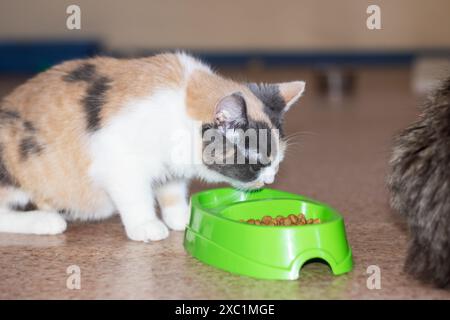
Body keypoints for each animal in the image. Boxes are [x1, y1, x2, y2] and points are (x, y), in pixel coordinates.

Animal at [0, 53, 306, 242]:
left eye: (278, 163)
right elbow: (135, 194)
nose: (270, 180)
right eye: (256, 165)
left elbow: (172, 188)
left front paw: (181, 217)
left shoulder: (172, 165)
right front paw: (144, 225)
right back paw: (45, 221)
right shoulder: (117, 159)